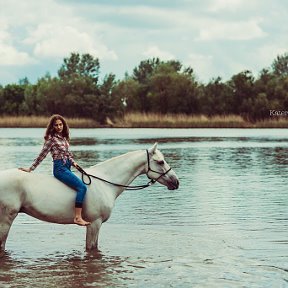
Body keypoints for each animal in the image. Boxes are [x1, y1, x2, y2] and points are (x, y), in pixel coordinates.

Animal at [0, 144, 178, 256]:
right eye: (160, 161)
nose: (176, 182)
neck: (106, 182)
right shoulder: (94, 223)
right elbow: (91, 247)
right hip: (7, 218)